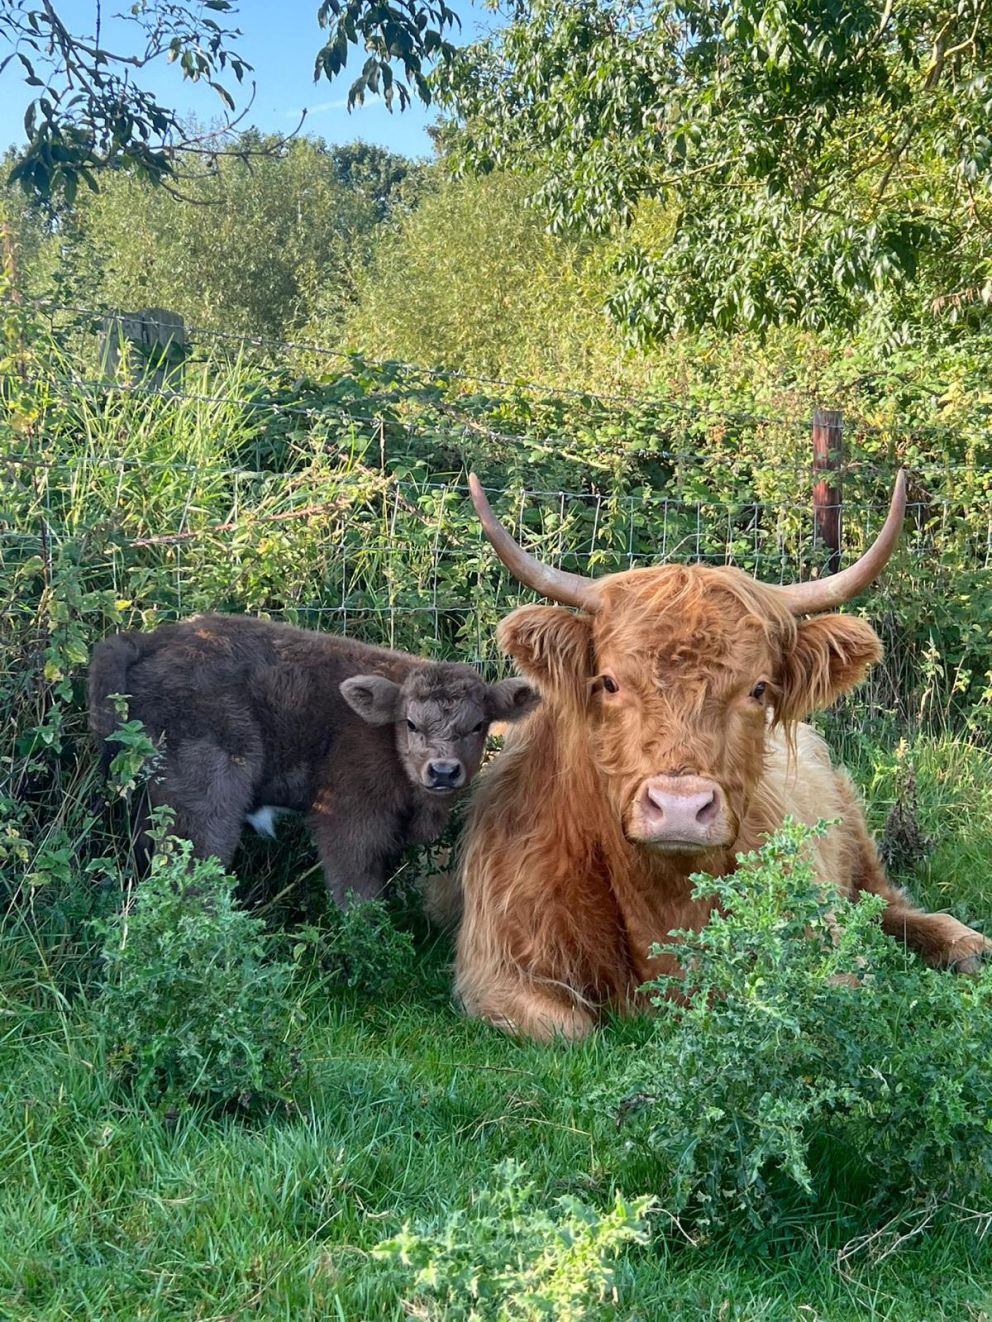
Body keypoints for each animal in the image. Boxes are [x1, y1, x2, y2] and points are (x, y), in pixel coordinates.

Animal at [88, 613, 538, 905]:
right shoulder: (349, 822)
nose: (443, 771)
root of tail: (151, 639)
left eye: (478, 725)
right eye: (411, 723)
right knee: (196, 870)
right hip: (207, 797)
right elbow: (357, 893)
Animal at [453, 473, 991, 1041]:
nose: (680, 807)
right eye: (610, 682)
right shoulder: (495, 969)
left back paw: (964, 945)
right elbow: (571, 1030)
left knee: (885, 902)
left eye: (758, 688)